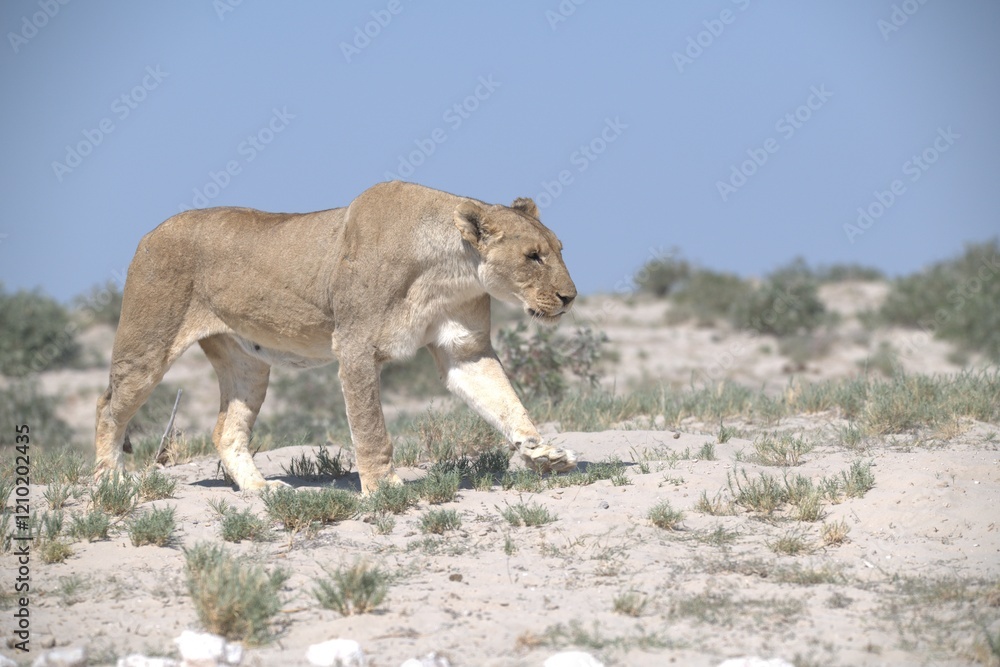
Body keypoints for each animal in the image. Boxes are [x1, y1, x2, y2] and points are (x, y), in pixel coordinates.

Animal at [95, 181, 579, 493]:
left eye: (559, 250)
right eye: (532, 256)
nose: (569, 297)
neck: (450, 271)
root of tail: (151, 233)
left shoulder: (465, 349)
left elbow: (505, 403)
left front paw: (542, 453)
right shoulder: (355, 346)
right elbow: (370, 427)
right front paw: (384, 487)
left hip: (247, 364)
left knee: (225, 430)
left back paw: (260, 489)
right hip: (148, 345)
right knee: (108, 408)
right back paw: (109, 485)